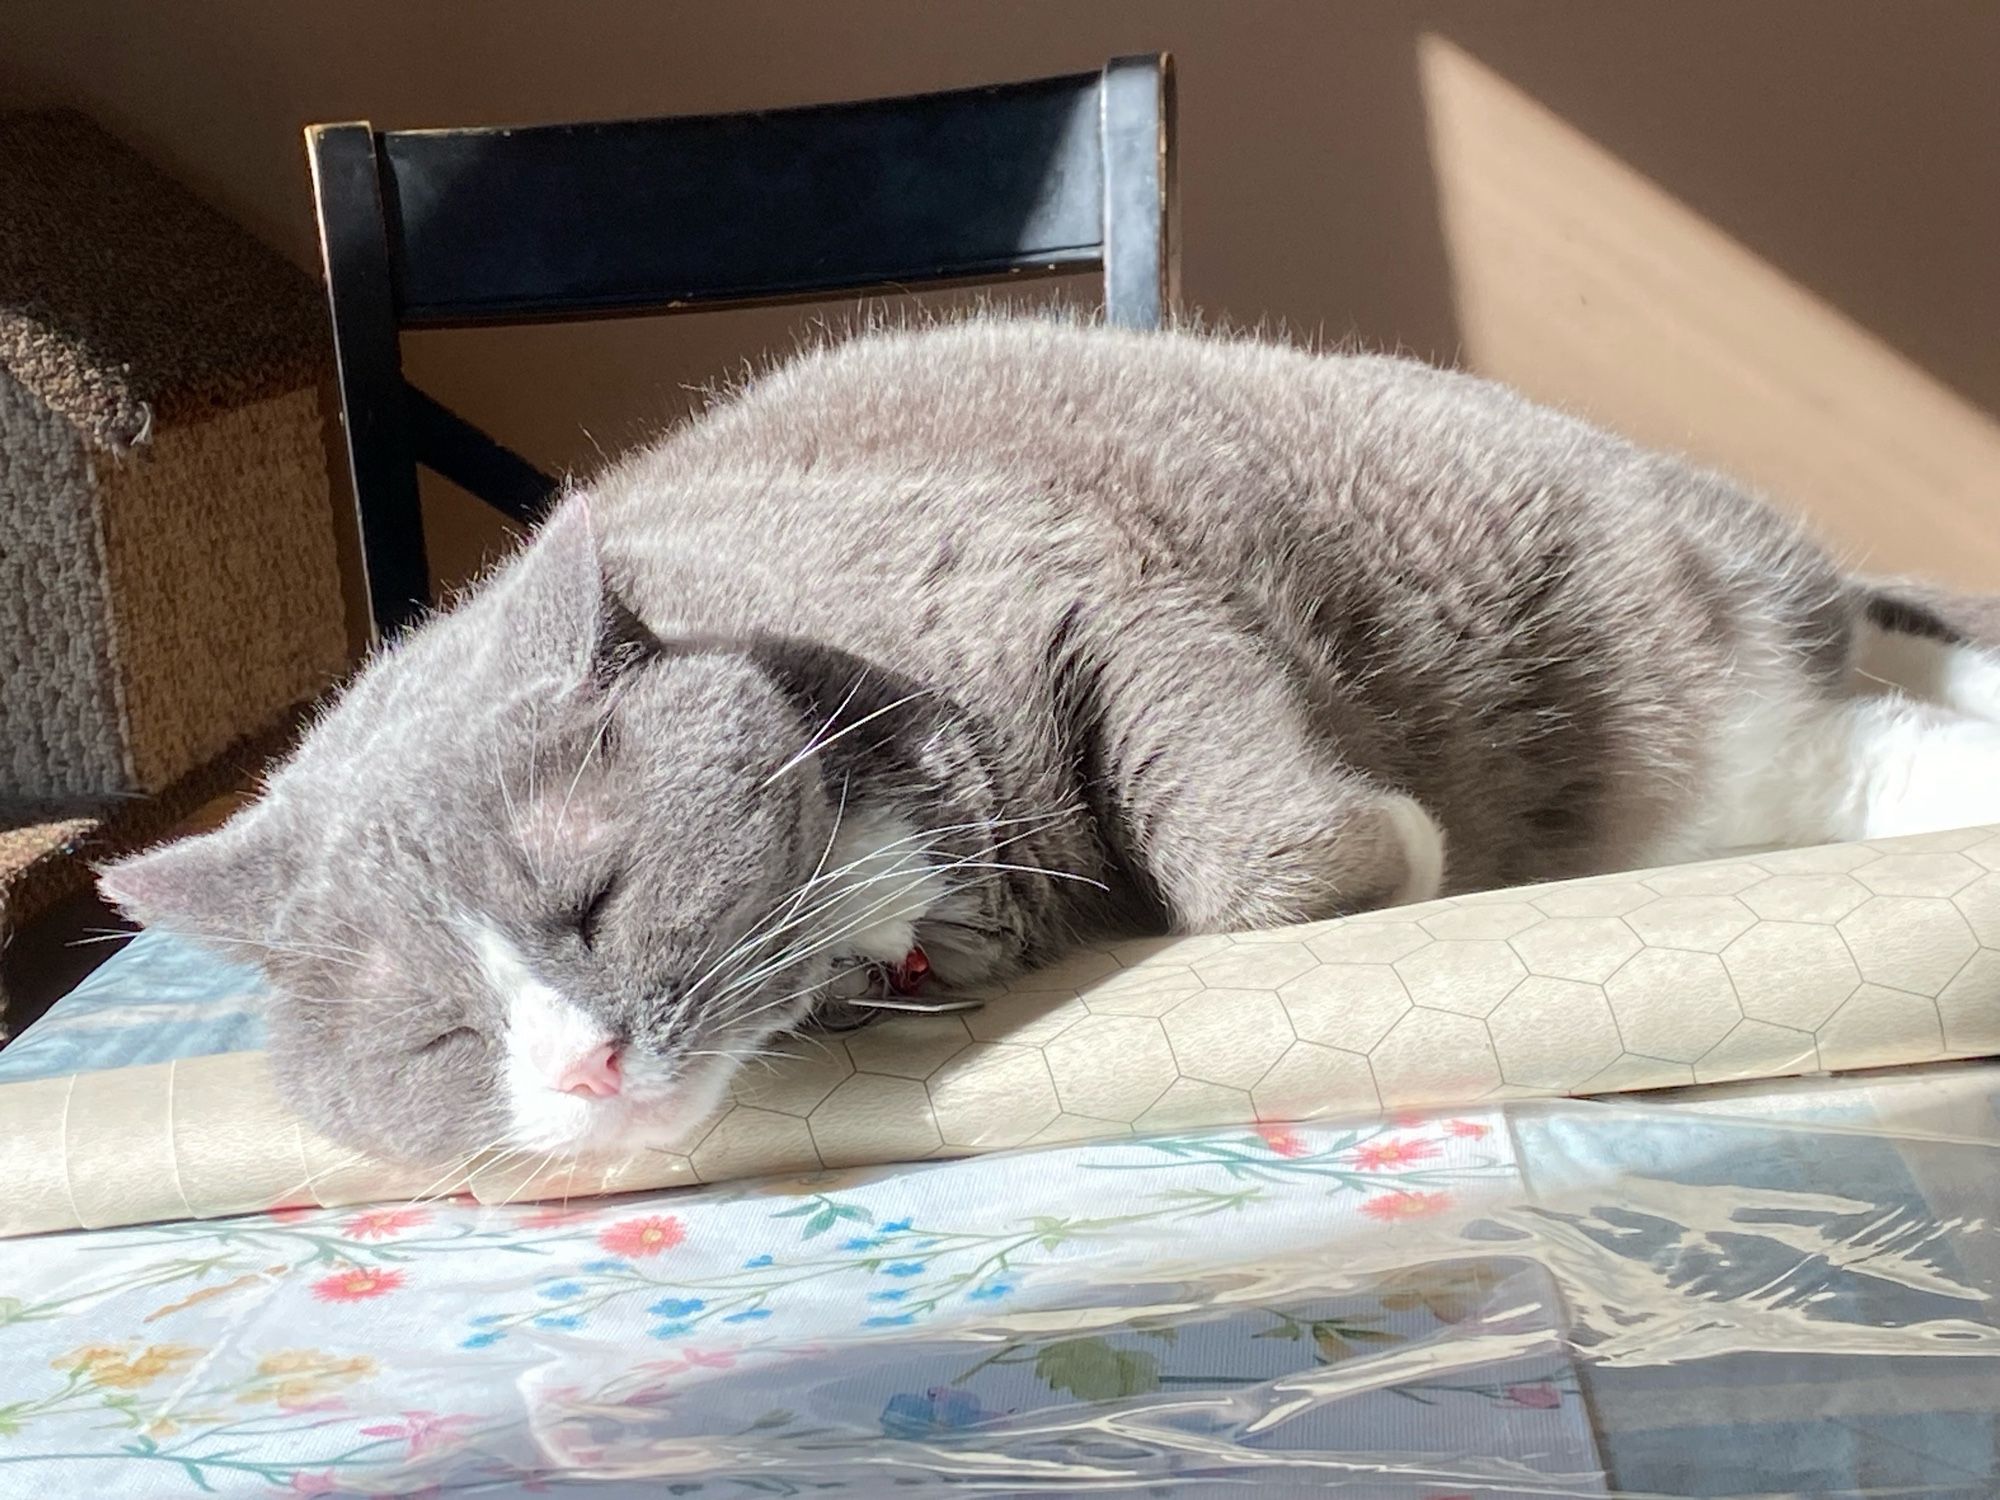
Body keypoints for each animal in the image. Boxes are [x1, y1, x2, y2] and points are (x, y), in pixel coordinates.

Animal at [97, 320, 2000, 1176]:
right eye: (437, 1036)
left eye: (594, 898)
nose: (581, 1072)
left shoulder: (1084, 578)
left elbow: (1236, 841)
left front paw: (1393, 857)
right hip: (1759, 749)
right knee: (1879, 739)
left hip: (1671, 605)